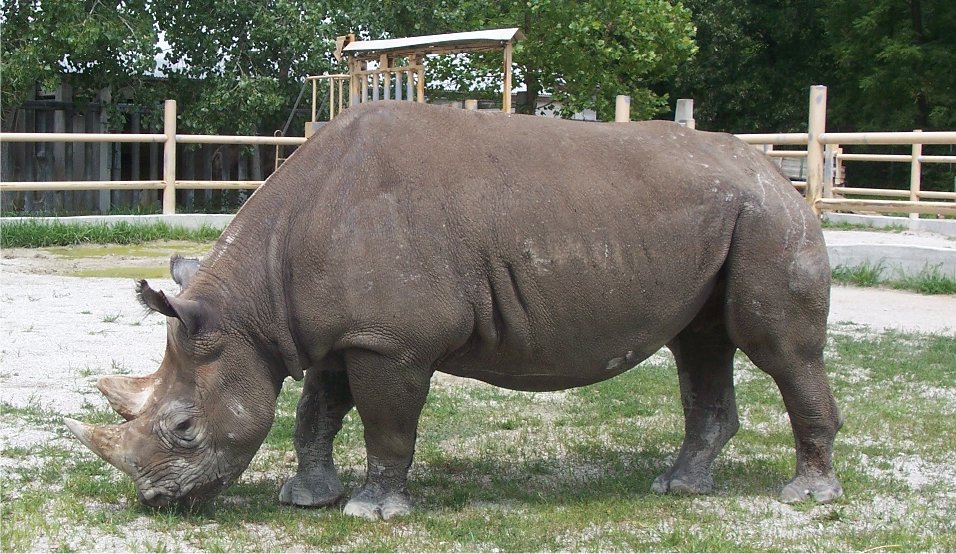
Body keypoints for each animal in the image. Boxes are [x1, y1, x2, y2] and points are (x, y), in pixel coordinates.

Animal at [65, 101, 843, 519]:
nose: (157, 501)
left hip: (770, 217)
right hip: (725, 217)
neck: (252, 309)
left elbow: (385, 423)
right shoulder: (342, 332)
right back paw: (679, 488)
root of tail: (776, 168)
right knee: (701, 344)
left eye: (184, 428)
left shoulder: (391, 341)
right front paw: (306, 498)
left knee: (778, 349)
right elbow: (316, 411)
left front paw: (372, 511)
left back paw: (805, 496)